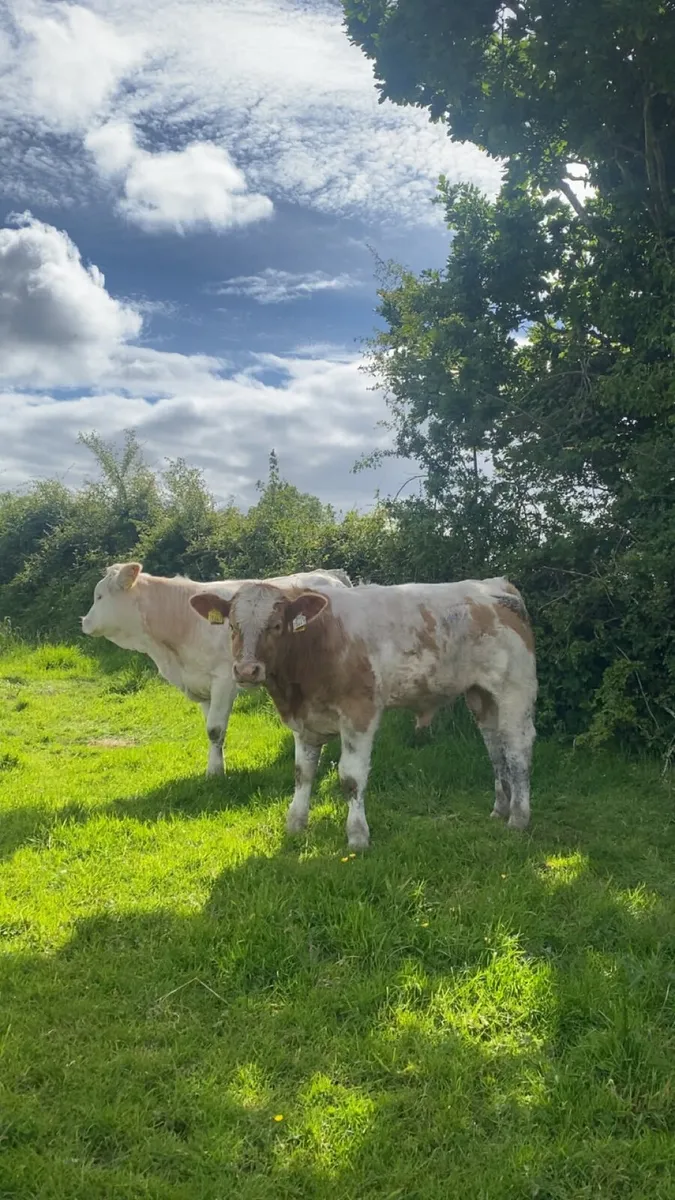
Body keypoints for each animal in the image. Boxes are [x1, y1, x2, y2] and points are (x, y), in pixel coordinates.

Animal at [81, 563, 352, 777]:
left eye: (99, 597)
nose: (84, 621)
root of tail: (328, 574)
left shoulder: (224, 680)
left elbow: (215, 729)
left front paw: (215, 772)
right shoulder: (201, 685)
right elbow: (210, 729)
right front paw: (215, 766)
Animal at [189, 576, 537, 849]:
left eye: (276, 626)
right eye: (233, 626)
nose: (247, 670)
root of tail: (494, 586)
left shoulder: (360, 714)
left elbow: (350, 777)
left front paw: (357, 837)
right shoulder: (305, 722)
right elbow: (303, 773)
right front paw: (295, 824)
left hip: (514, 691)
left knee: (516, 749)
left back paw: (519, 818)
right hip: (482, 696)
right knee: (495, 749)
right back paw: (500, 808)